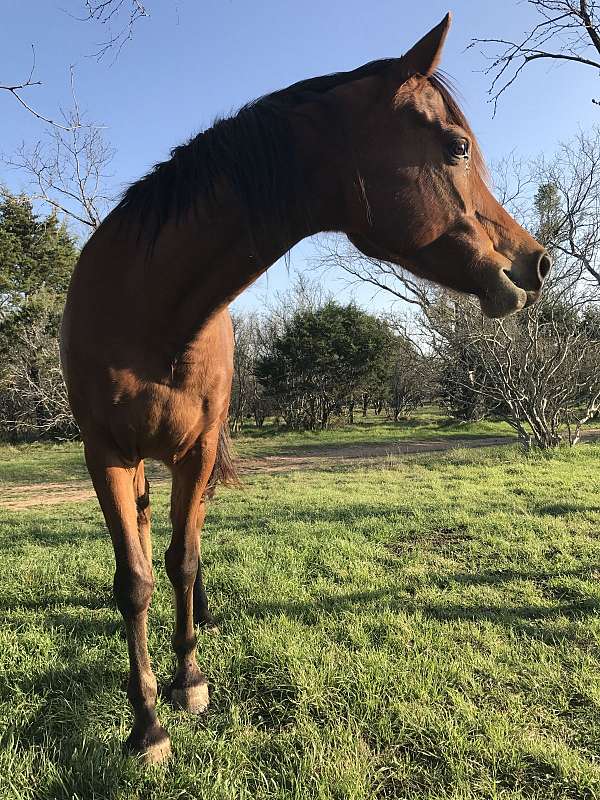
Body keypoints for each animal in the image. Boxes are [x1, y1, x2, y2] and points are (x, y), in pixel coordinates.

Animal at [59, 14, 548, 764]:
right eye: (457, 146)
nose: (535, 264)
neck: (152, 311)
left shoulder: (198, 453)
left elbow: (183, 561)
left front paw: (189, 678)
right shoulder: (104, 453)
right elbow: (135, 581)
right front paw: (146, 723)